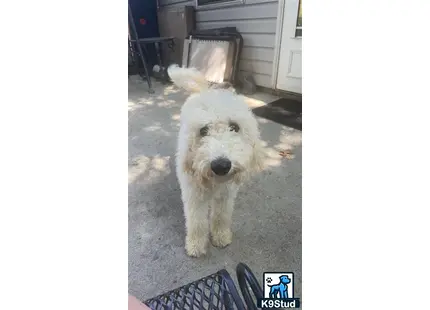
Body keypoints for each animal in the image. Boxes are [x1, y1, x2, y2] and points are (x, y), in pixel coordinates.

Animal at [167, 65, 266, 256]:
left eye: (234, 127)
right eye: (203, 130)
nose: (221, 166)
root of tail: (205, 90)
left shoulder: (226, 195)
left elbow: (221, 216)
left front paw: (221, 237)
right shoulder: (194, 195)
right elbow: (197, 221)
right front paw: (196, 245)